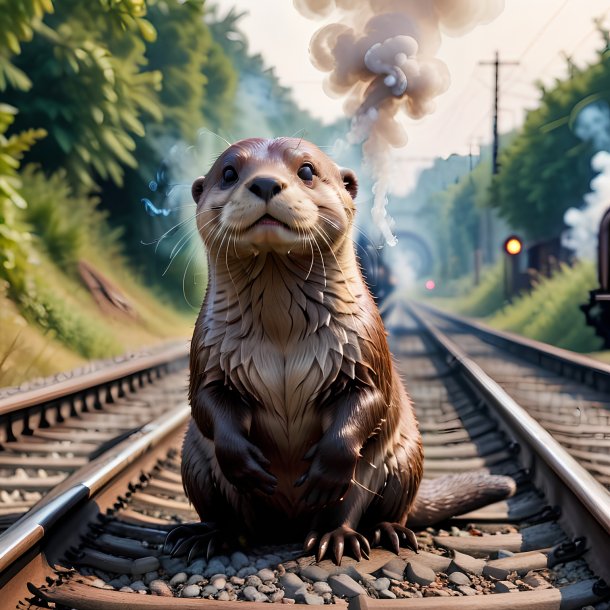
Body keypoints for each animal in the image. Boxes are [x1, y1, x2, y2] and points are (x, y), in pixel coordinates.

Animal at [166, 137, 512, 560]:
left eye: (306, 170)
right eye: (229, 173)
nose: (264, 182)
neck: (281, 331)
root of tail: (289, 526)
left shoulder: (365, 348)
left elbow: (370, 400)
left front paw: (325, 471)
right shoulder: (209, 352)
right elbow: (206, 403)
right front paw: (246, 465)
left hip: (405, 458)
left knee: (361, 507)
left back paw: (358, 536)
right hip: (193, 462)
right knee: (228, 515)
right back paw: (210, 535)